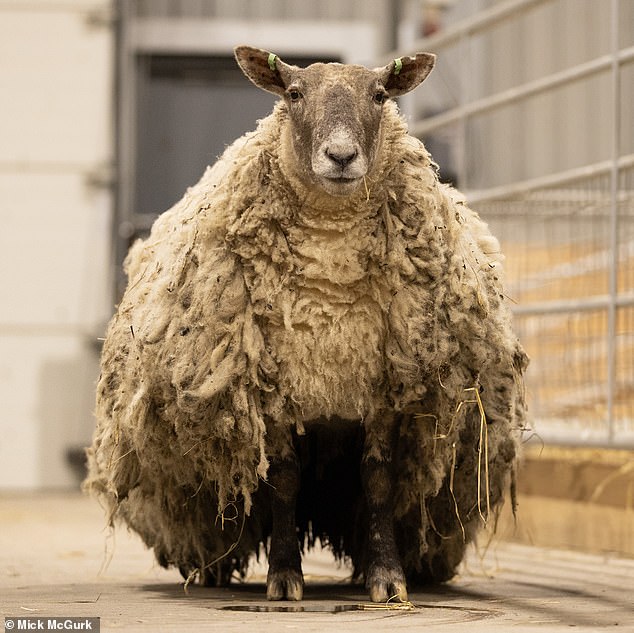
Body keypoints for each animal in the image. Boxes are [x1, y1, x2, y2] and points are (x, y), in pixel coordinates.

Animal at [85, 45, 528, 604]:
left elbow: (378, 481)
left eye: (379, 95)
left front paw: (387, 578)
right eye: (294, 94)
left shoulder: (382, 391)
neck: (329, 287)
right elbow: (284, 482)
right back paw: (212, 569)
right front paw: (283, 577)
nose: (340, 156)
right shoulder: (273, 392)